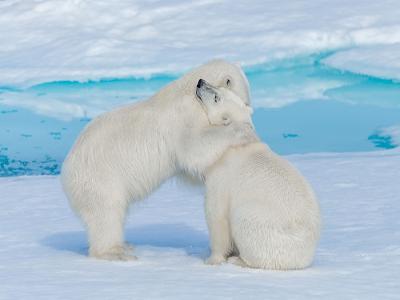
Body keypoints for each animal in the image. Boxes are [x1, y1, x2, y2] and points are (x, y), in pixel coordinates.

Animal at [61, 60, 258, 260]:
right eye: (246, 98)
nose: (249, 108)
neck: (189, 91)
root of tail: (66, 173)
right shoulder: (186, 116)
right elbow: (194, 147)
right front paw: (242, 130)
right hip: (100, 179)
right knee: (107, 213)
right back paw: (115, 252)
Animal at [202, 92, 320, 268]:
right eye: (222, 90)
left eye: (217, 97)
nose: (199, 85)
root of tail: (304, 257)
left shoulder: (222, 175)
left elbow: (217, 215)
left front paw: (212, 259)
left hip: (264, 225)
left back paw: (238, 259)